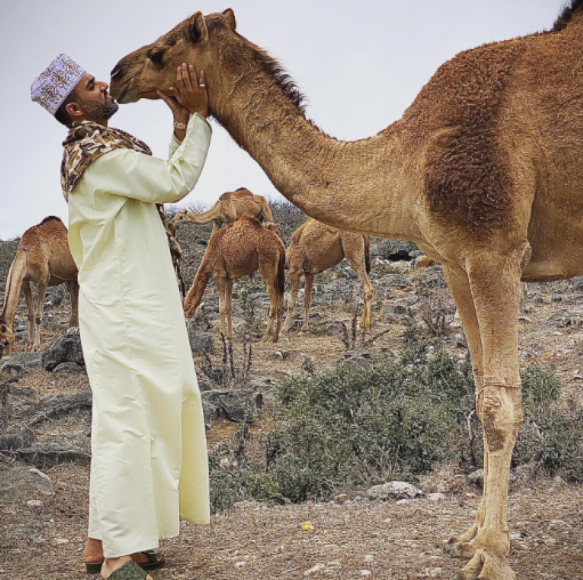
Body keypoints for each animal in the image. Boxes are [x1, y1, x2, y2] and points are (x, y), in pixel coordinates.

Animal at [0, 215, 78, 356]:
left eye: (5, 342)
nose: (5, 354)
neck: (26, 254)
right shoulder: (24, 281)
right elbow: (30, 314)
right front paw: (29, 345)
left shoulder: (42, 280)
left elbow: (38, 316)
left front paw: (36, 346)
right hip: (70, 278)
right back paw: (70, 329)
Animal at [110, 3, 583, 576]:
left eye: (161, 50)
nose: (115, 74)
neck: (407, 161)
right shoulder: (455, 261)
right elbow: (477, 388)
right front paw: (468, 538)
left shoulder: (495, 250)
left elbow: (499, 406)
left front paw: (491, 555)